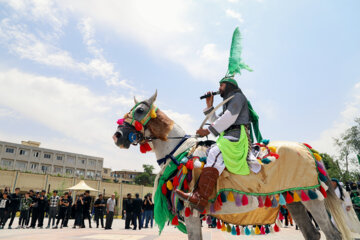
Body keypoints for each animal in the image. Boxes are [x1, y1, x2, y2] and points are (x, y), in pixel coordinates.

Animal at [114, 91, 352, 239]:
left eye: (140, 111)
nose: (118, 136)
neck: (179, 152)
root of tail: (306, 148)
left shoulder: (192, 215)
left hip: (314, 201)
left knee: (333, 234)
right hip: (296, 200)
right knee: (312, 234)